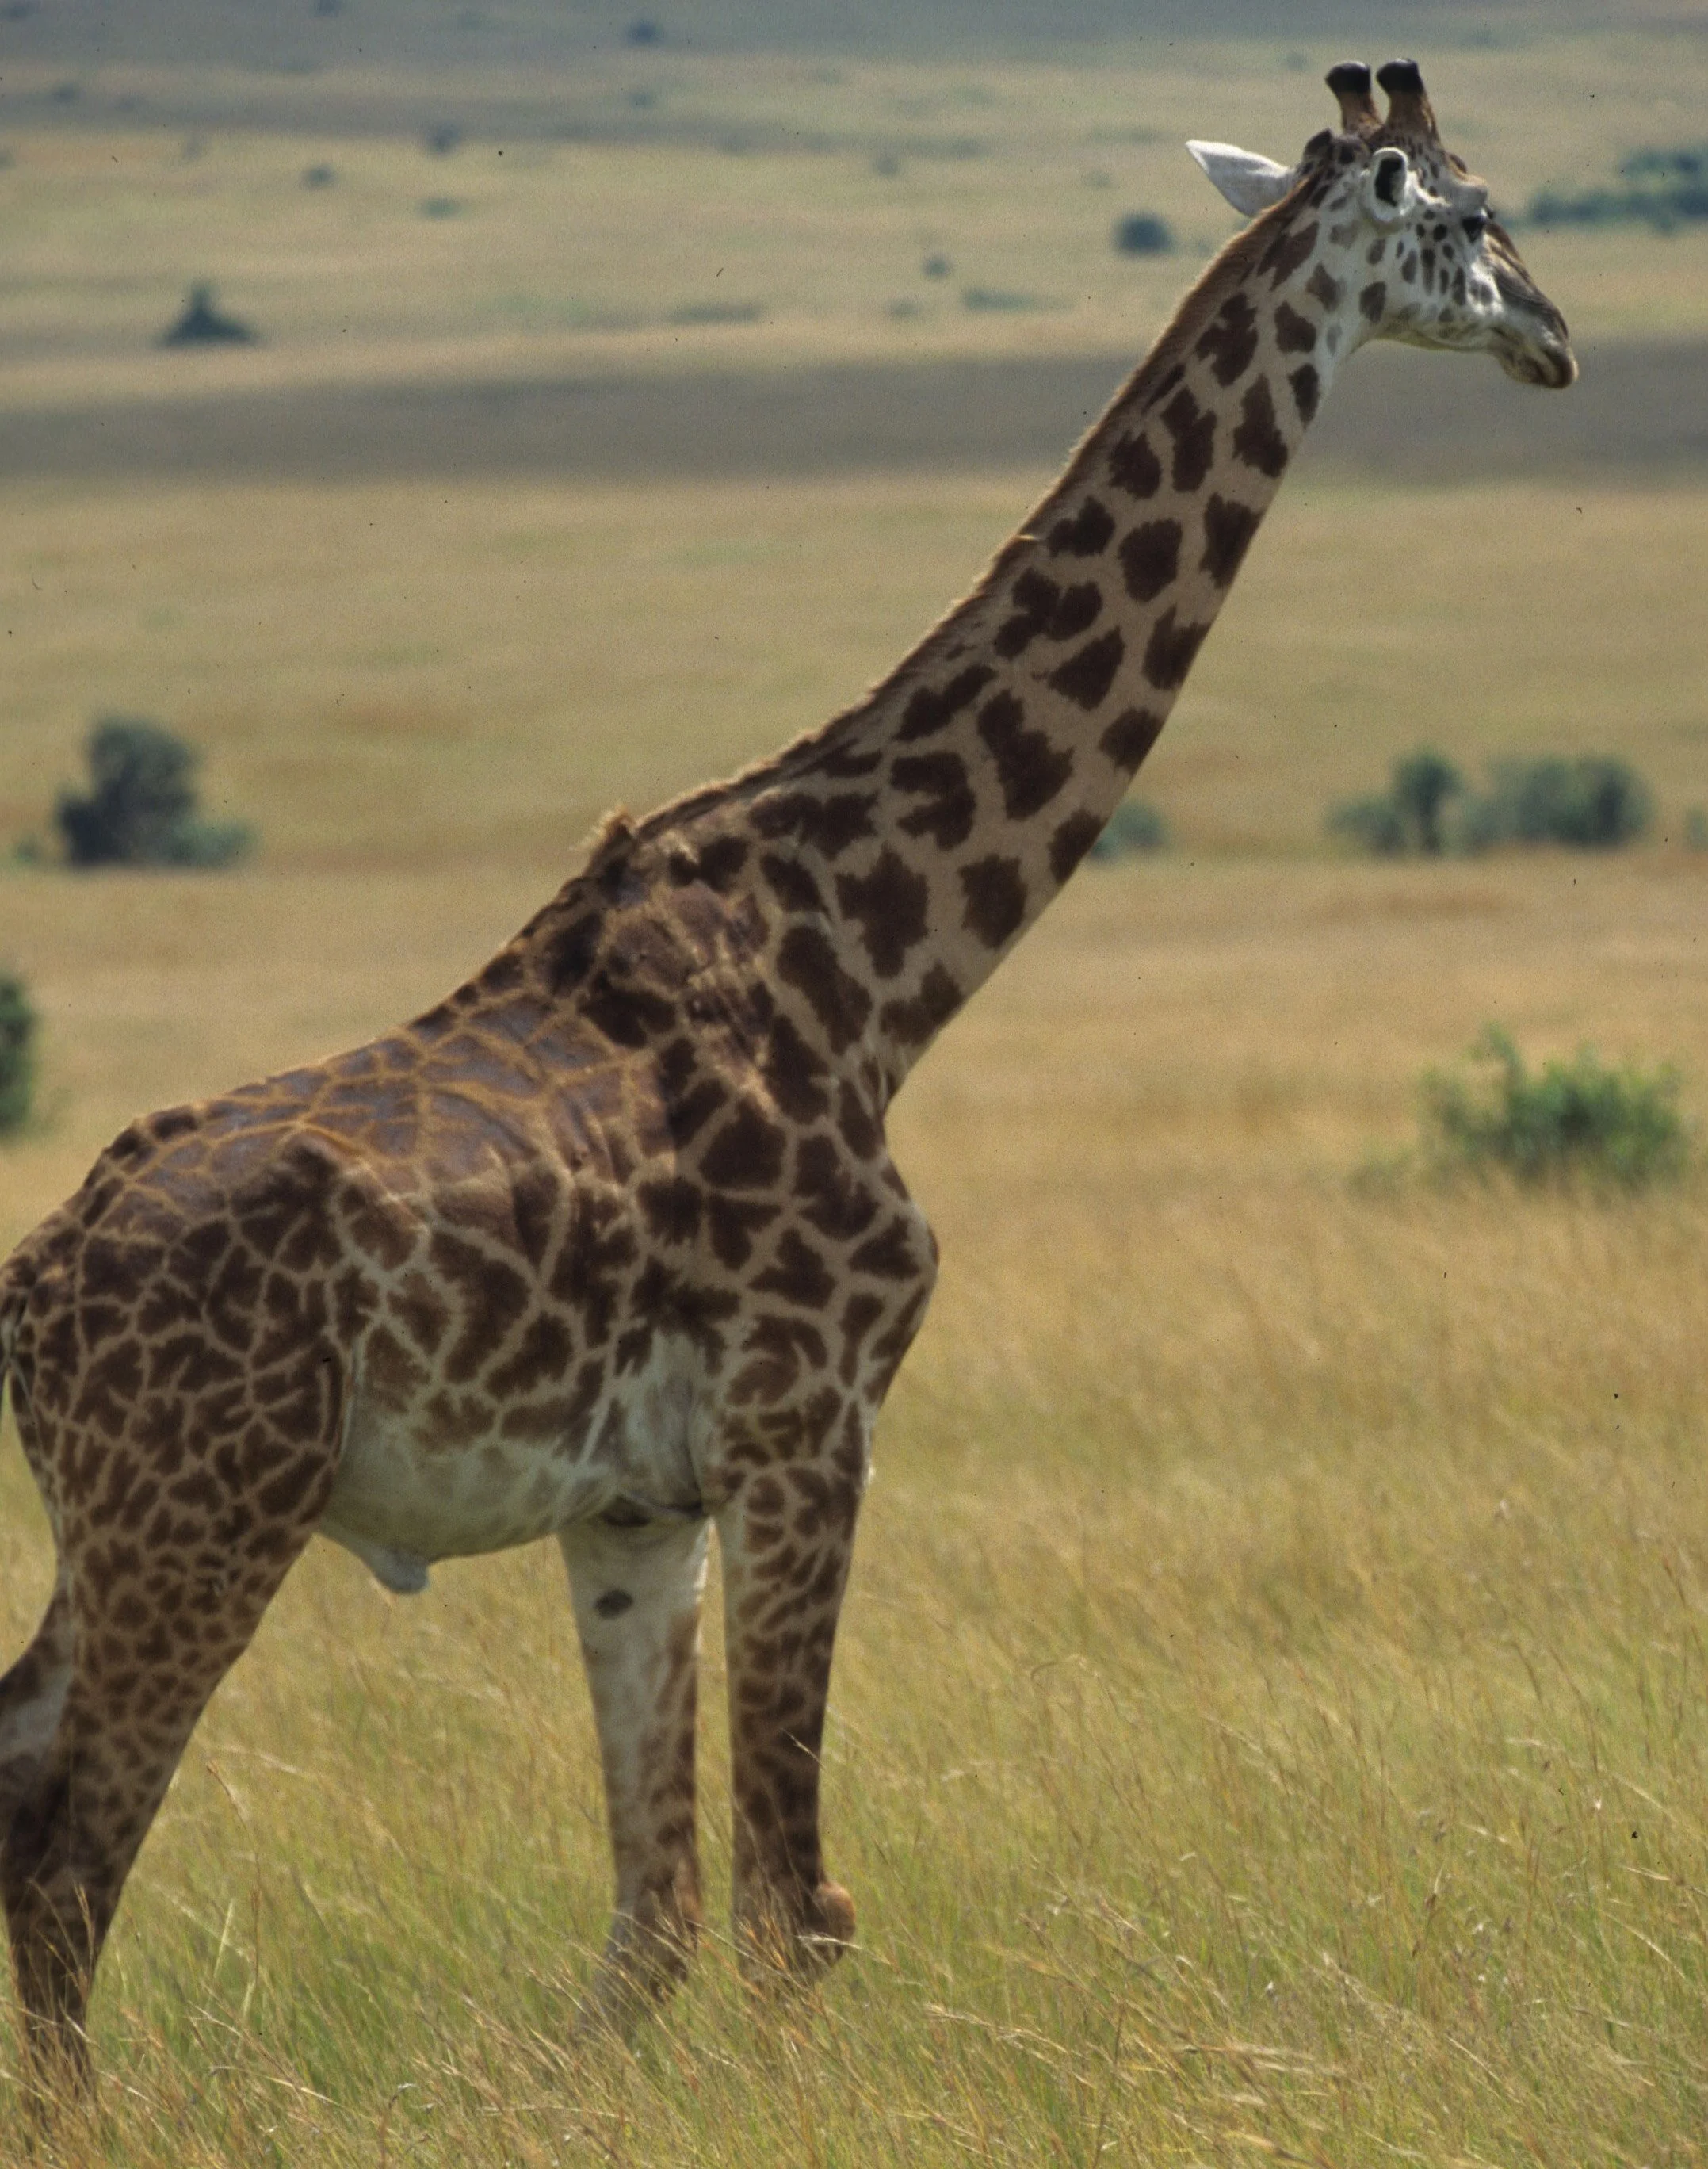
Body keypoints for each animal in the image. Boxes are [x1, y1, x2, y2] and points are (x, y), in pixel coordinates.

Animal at [1, 60, 1572, 2093]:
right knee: (66, 1867)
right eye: (1465, 217)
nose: (1555, 338)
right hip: (202, 1516)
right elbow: (788, 1903)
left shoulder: (634, 1501)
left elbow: (653, 1920)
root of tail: (34, 1291)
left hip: (107, 1526)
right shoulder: (811, 1413)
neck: (879, 960)